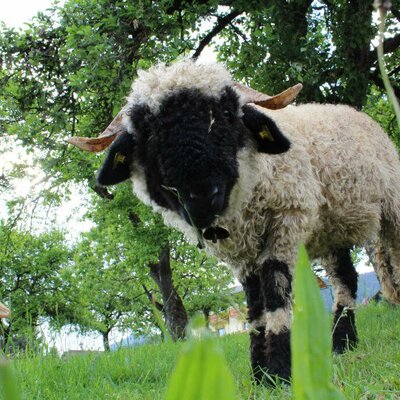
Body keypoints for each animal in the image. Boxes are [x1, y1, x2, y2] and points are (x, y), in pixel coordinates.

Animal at [70, 61, 400, 382]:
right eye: (146, 134)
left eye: (227, 114)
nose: (202, 196)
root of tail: (351, 110)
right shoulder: (241, 256)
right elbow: (254, 307)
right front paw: (260, 375)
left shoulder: (287, 220)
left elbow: (275, 294)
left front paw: (280, 372)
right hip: (332, 228)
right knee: (345, 279)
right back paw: (343, 344)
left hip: (391, 207)